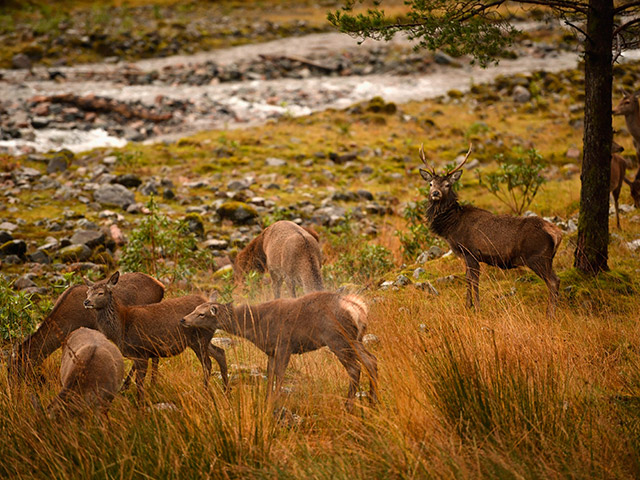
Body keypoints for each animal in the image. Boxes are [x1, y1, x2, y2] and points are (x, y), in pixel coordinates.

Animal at [82, 272, 228, 404]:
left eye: (100, 292)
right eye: (87, 292)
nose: (86, 301)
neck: (121, 328)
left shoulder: (141, 351)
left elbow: (139, 382)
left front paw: (140, 406)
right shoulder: (139, 354)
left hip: (199, 339)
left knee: (207, 363)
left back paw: (205, 391)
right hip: (202, 340)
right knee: (220, 352)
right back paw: (226, 390)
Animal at [180, 290, 378, 410]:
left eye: (201, 314)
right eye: (195, 308)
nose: (183, 319)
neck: (256, 326)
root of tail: (358, 309)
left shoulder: (284, 345)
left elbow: (280, 375)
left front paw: (275, 400)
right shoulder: (271, 351)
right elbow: (270, 374)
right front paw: (267, 400)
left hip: (337, 339)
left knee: (355, 368)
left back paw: (349, 405)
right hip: (355, 339)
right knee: (371, 360)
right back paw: (372, 400)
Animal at [418, 146, 564, 318]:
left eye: (447, 185)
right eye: (431, 184)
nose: (435, 193)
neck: (452, 226)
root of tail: (557, 234)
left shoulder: (471, 251)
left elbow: (474, 280)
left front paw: (477, 308)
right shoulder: (466, 255)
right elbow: (467, 279)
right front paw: (467, 306)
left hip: (537, 257)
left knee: (553, 281)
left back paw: (550, 315)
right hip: (547, 259)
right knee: (556, 280)